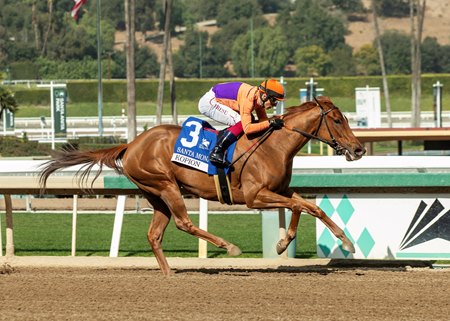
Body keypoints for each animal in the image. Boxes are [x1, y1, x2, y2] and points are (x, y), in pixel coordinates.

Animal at [39, 96, 366, 274]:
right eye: (338, 120)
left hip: (155, 195)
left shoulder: (280, 190)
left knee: (154, 234)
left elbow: (305, 206)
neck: (273, 144)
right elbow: (304, 205)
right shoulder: (255, 196)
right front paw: (338, 241)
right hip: (166, 185)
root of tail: (131, 144)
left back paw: (170, 275)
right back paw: (228, 246)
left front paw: (292, 242)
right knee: (183, 222)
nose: (359, 149)